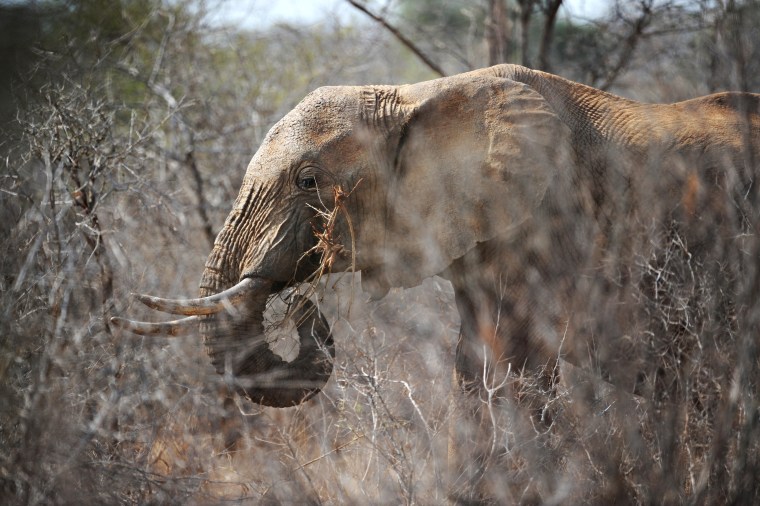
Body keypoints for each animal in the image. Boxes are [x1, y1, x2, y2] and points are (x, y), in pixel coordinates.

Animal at [113, 63, 760, 498]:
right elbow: (472, 365)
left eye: (307, 180)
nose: (303, 308)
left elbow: (521, 370)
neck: (419, 95)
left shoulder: (545, 227)